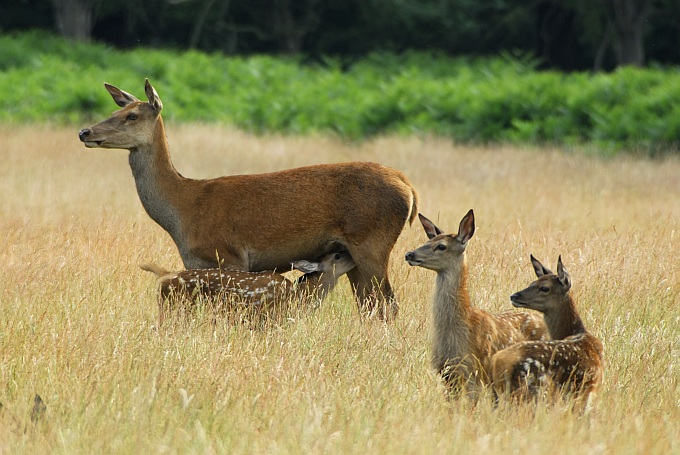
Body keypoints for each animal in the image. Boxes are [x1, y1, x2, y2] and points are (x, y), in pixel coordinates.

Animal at [492, 256, 604, 410]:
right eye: (532, 283)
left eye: (544, 287)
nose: (514, 296)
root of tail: (500, 363)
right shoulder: (588, 394)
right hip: (533, 392)